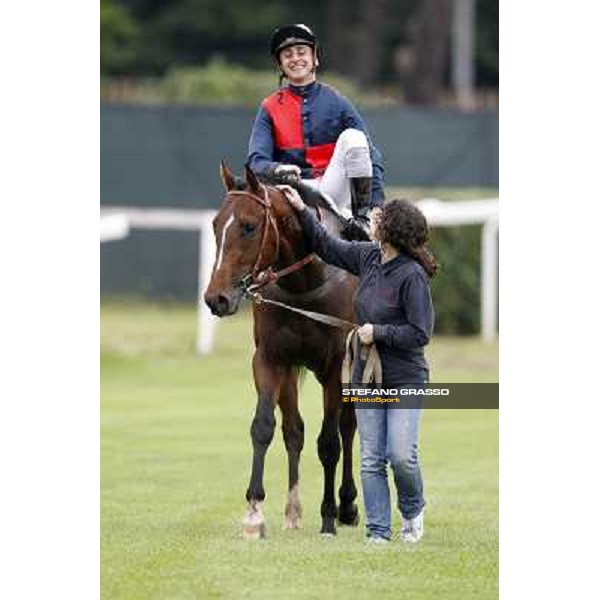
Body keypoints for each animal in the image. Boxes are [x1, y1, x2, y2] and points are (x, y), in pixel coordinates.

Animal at [204, 162, 358, 536]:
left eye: (248, 226)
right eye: (215, 224)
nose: (216, 298)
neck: (305, 284)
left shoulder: (335, 369)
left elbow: (329, 442)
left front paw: (329, 516)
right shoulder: (271, 360)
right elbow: (264, 426)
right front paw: (254, 512)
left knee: (347, 427)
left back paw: (347, 505)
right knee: (294, 430)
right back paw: (293, 510)